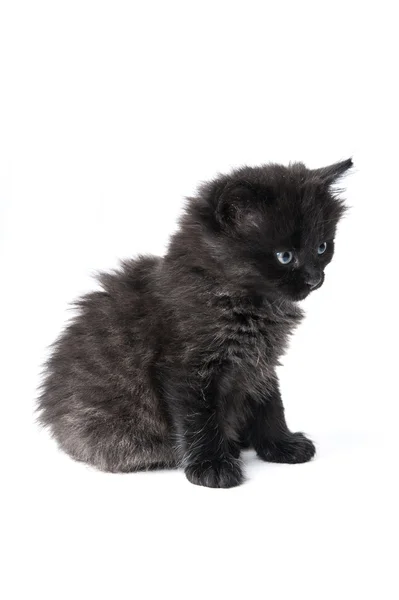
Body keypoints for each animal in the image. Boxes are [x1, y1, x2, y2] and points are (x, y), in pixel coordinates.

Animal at [37, 158, 354, 488]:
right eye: (284, 256)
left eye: (322, 247)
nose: (315, 278)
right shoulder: (187, 368)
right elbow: (199, 419)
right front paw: (212, 465)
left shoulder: (259, 364)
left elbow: (270, 405)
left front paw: (281, 445)